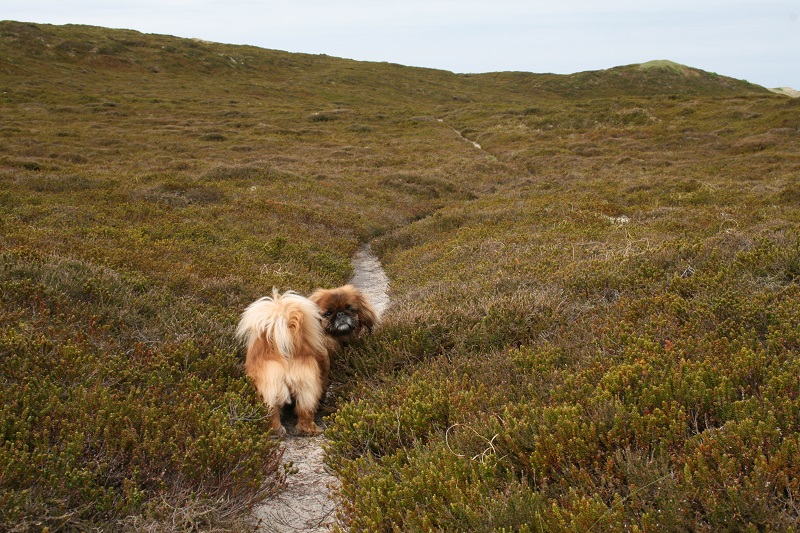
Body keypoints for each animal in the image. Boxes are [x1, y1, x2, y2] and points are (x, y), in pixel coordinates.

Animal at [234, 290, 328, 436]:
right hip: (307, 389)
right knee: (305, 411)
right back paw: (307, 430)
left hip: (270, 391)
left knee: (272, 412)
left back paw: (275, 430)